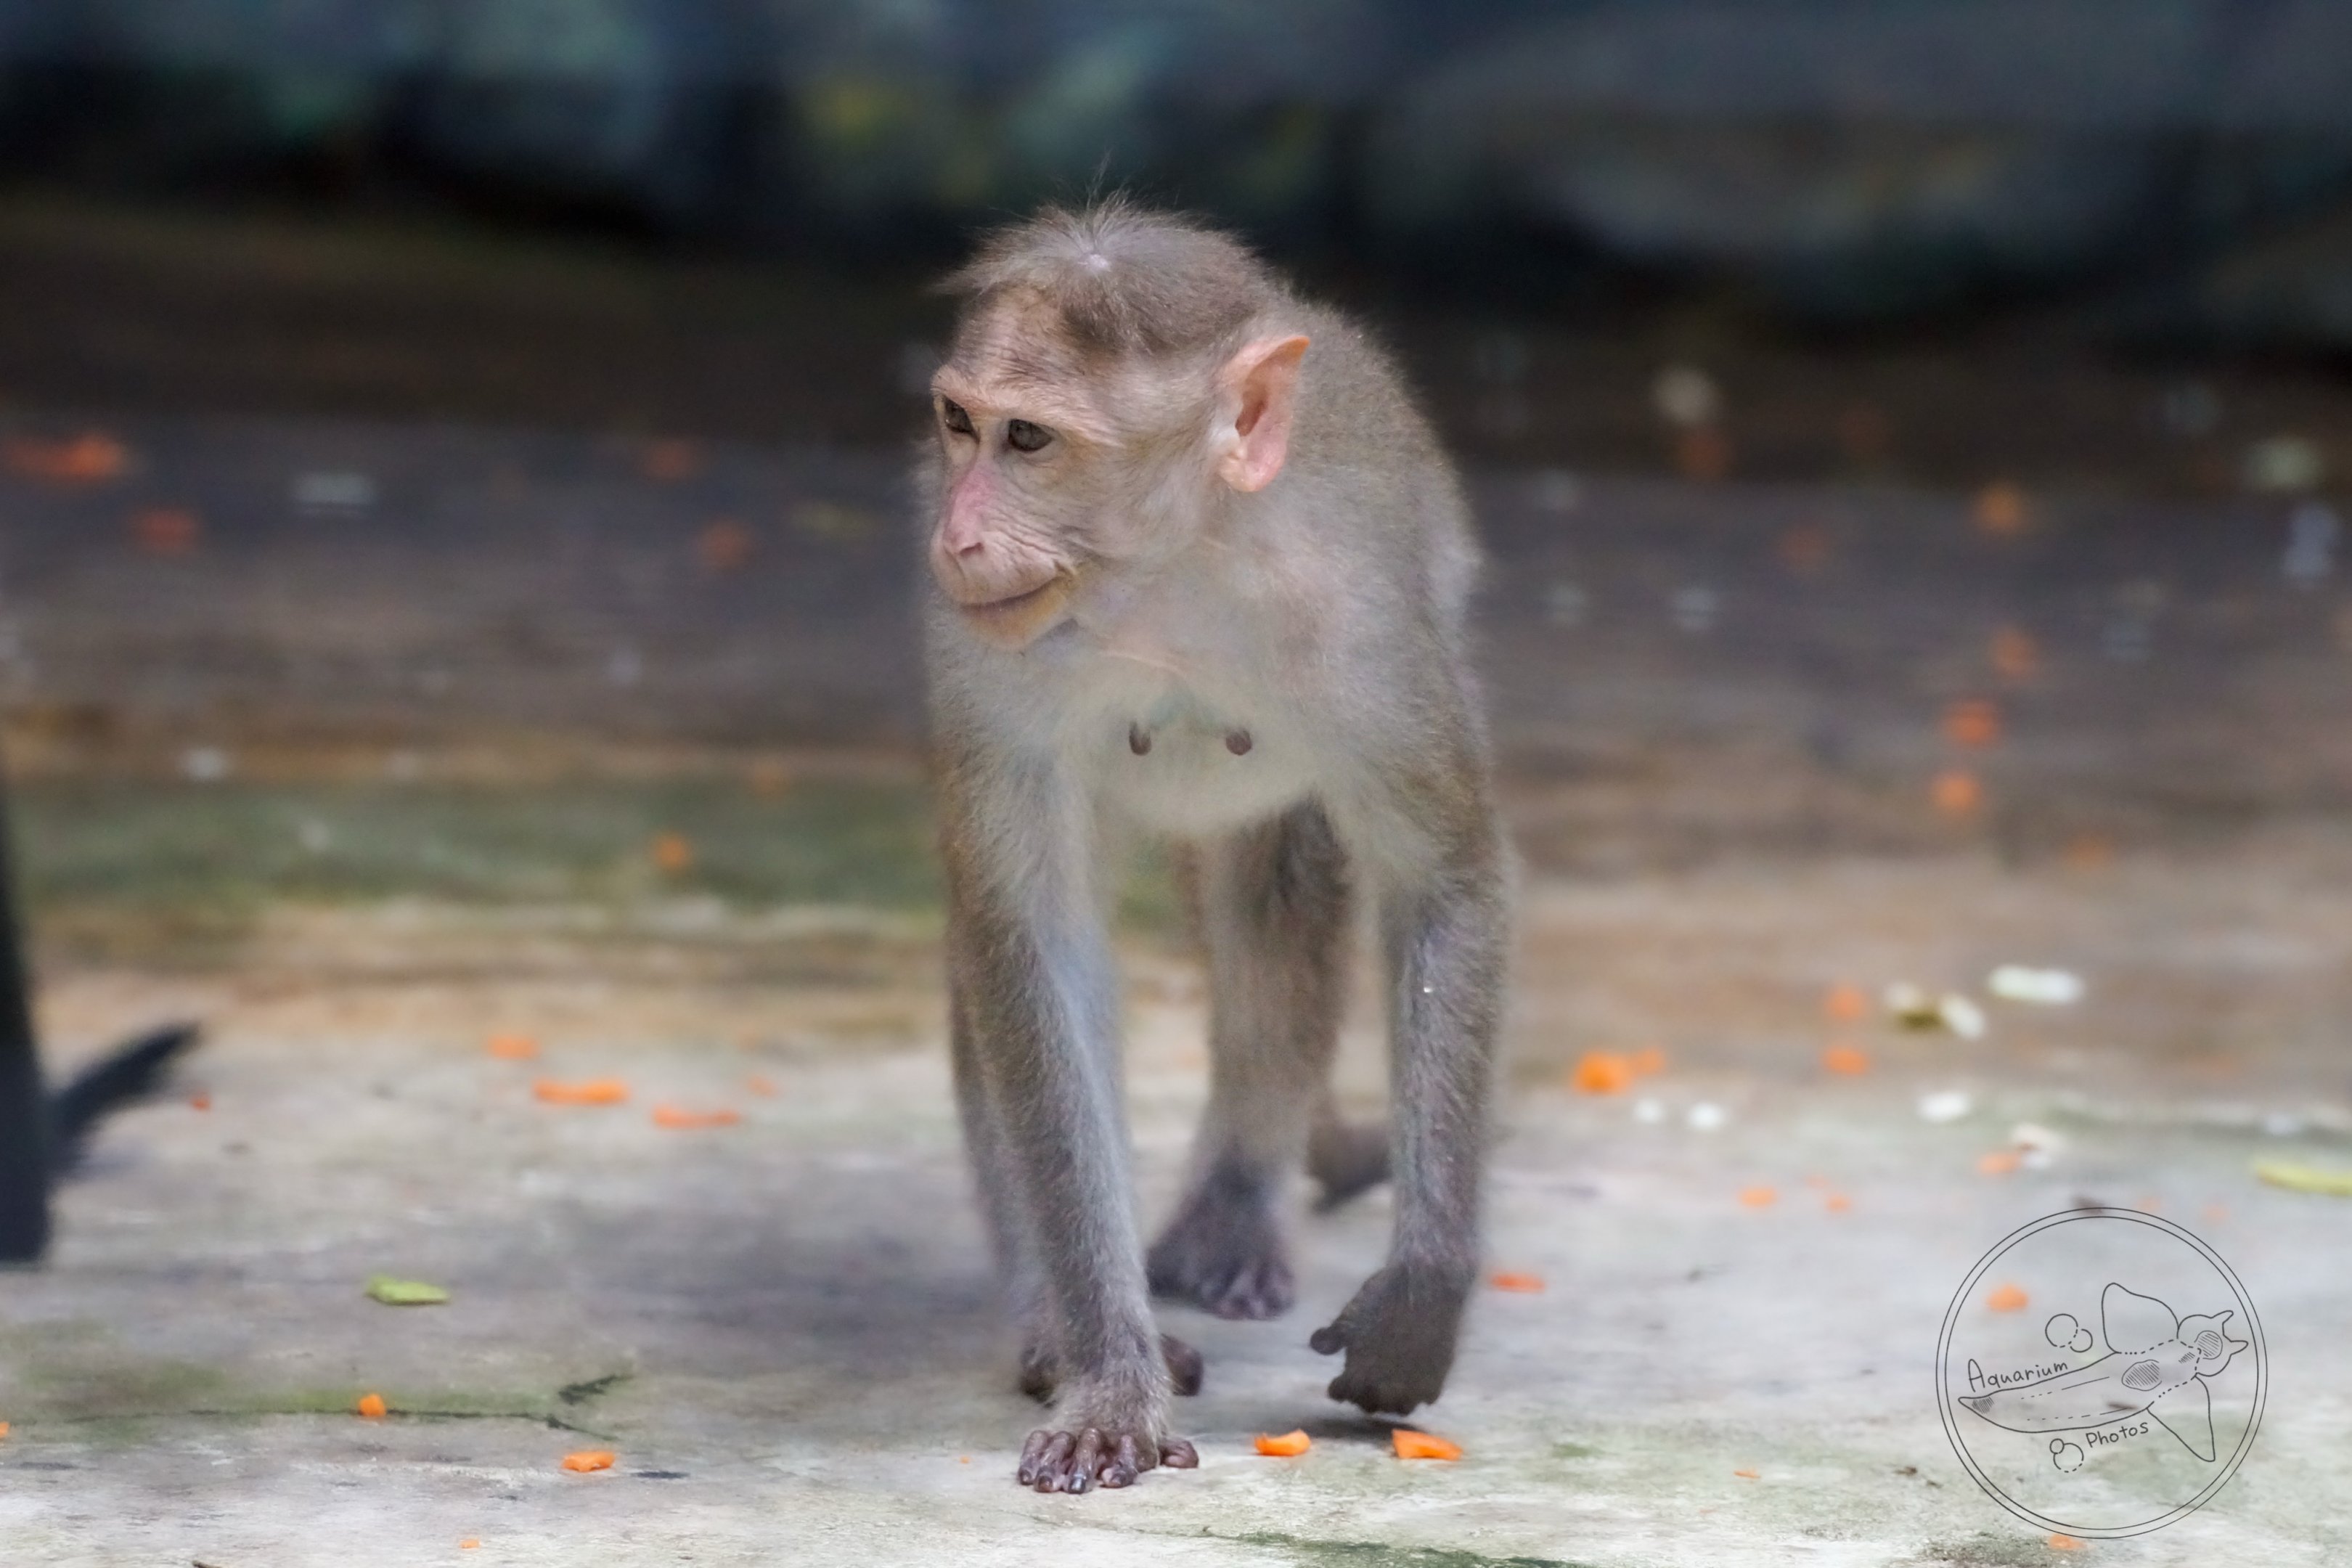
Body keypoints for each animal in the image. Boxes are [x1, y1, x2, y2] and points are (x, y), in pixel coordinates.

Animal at [923, 200, 1511, 1494]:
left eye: (1029, 439)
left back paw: (1237, 1209)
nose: (957, 532)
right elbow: (1032, 948)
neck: (1164, 587)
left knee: (1279, 884)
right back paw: (1053, 1321)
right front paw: (1107, 1370)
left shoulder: (1365, 634)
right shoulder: (990, 660)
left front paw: (1425, 1293)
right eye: (959, 424)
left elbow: (1442, 882)